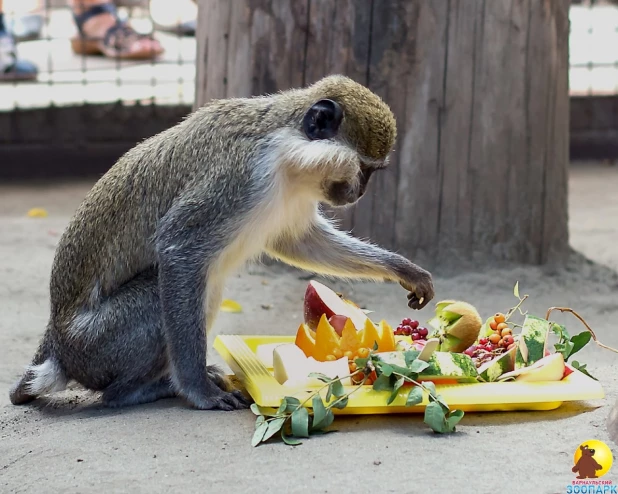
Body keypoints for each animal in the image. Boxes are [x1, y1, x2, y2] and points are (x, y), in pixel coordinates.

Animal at [8, 74, 434, 412]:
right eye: (362, 169)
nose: (358, 192)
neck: (286, 151)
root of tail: (57, 342)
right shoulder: (239, 176)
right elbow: (177, 247)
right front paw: (198, 391)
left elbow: (299, 241)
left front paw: (404, 269)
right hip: (97, 344)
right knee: (166, 293)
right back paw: (140, 391)